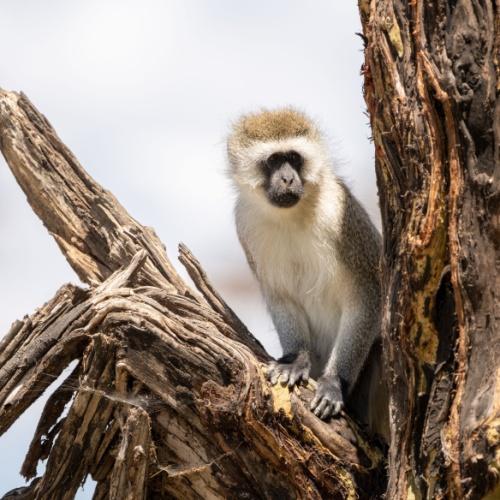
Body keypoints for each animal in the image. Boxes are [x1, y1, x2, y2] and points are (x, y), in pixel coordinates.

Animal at [227, 107, 386, 436]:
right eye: (274, 160)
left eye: (294, 158)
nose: (288, 178)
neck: (290, 216)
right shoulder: (245, 223)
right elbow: (280, 296)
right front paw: (294, 360)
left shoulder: (343, 215)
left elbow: (369, 294)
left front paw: (334, 382)